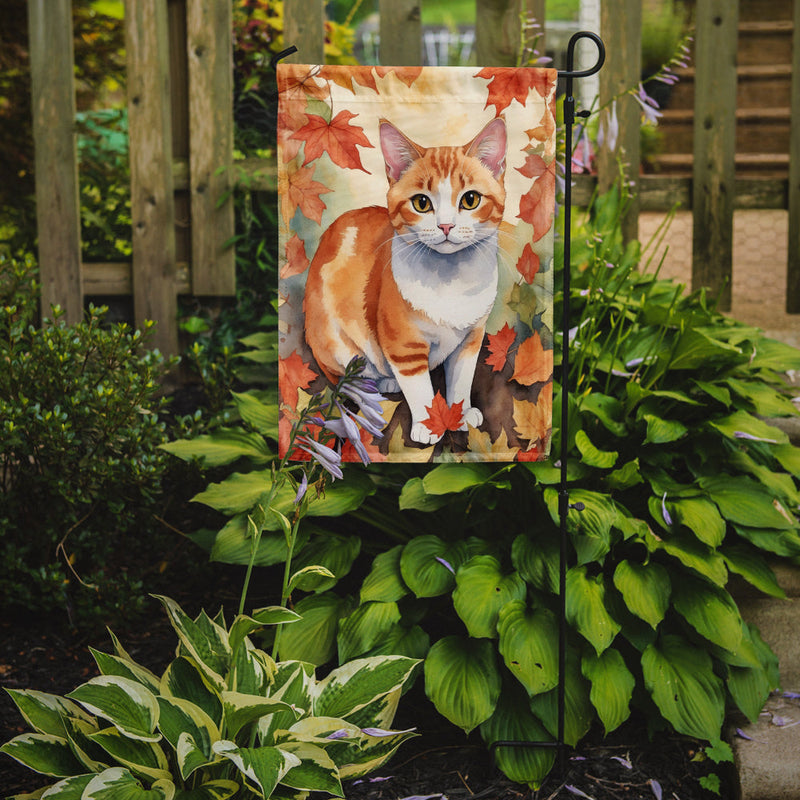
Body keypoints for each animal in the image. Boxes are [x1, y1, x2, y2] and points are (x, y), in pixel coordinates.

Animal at [304, 117, 504, 444]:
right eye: (421, 203)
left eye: (470, 200)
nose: (445, 226)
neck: (452, 280)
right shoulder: (404, 346)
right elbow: (419, 388)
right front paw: (428, 424)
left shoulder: (471, 338)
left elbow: (461, 379)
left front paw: (459, 413)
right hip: (336, 343)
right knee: (346, 382)